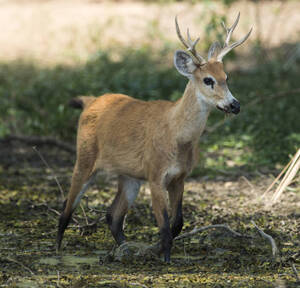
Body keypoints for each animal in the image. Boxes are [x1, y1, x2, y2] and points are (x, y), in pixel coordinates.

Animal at [56, 12, 251, 264]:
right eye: (208, 80)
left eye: (227, 77)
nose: (235, 105)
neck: (177, 136)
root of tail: (90, 101)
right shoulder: (155, 174)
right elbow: (165, 226)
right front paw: (165, 259)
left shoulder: (179, 177)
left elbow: (177, 223)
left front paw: (156, 250)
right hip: (85, 158)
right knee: (67, 205)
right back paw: (57, 250)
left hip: (129, 176)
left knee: (113, 215)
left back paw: (126, 249)